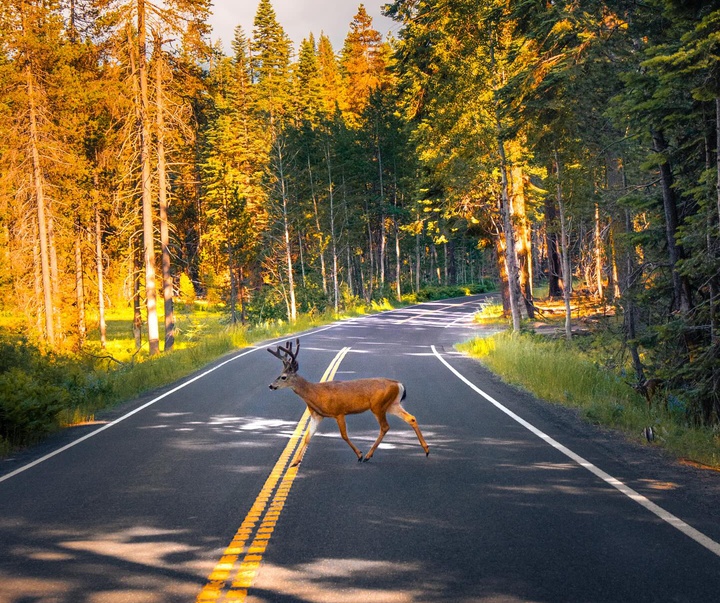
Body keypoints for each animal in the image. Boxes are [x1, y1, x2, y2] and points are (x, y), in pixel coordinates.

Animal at [268, 340, 428, 468]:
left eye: (283, 377)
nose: (271, 385)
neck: (315, 394)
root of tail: (398, 384)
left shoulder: (339, 412)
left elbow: (344, 435)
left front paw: (359, 455)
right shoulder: (317, 415)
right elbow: (307, 436)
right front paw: (295, 462)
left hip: (378, 406)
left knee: (385, 427)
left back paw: (368, 455)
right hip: (392, 405)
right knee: (410, 418)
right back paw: (426, 449)